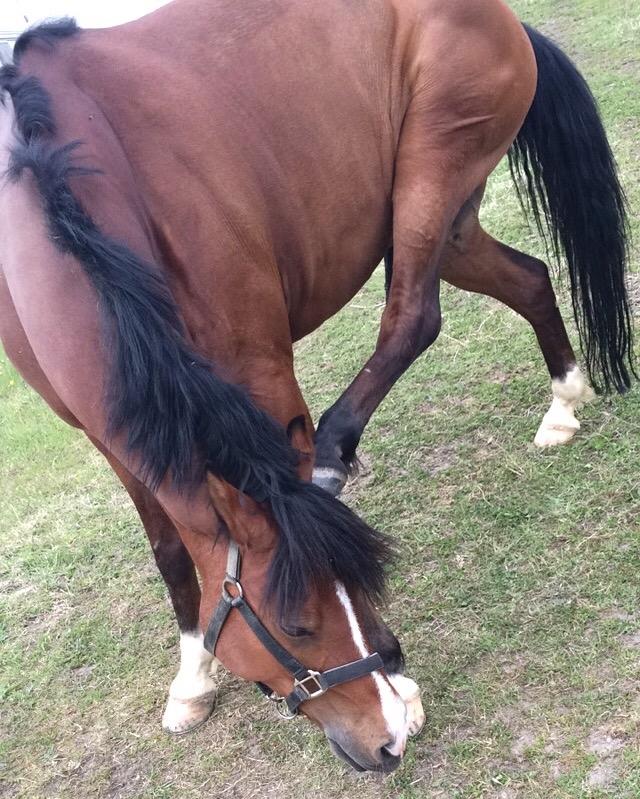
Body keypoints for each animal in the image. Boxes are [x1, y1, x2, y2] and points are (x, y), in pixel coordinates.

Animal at [0, 0, 633, 774]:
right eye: (297, 625)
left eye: (356, 588)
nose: (387, 737)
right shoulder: (109, 432)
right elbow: (172, 552)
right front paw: (192, 676)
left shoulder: (261, 372)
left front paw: (398, 682)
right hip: (455, 226)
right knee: (531, 277)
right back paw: (563, 403)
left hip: (431, 181)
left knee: (414, 316)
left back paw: (345, 452)